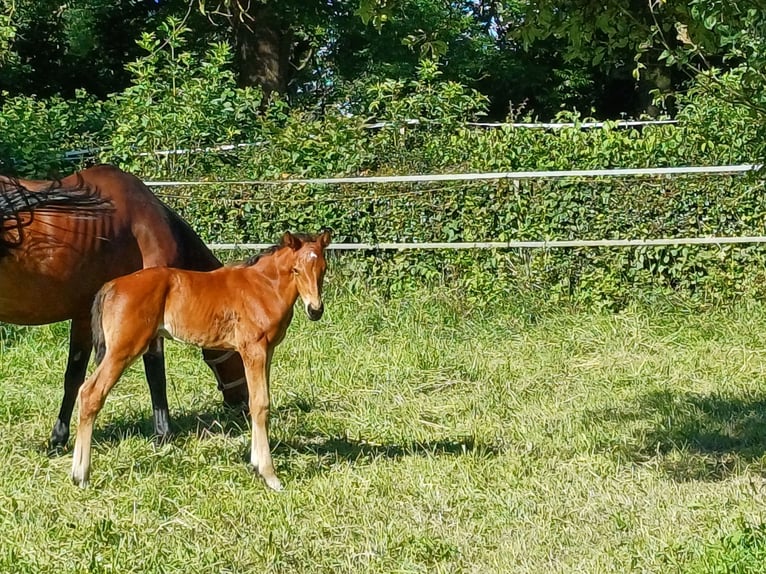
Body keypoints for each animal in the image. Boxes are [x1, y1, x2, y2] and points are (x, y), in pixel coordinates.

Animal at [0, 164, 248, 452]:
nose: (242, 405)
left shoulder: (83, 317)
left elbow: (73, 377)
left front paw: (58, 439)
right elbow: (155, 373)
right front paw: (163, 434)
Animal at [67, 230, 328, 490]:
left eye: (323, 269)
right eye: (296, 269)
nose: (315, 310)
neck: (263, 286)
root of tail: (111, 286)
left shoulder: (268, 351)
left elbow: (257, 402)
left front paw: (256, 465)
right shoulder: (253, 349)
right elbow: (260, 404)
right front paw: (269, 475)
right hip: (122, 350)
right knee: (90, 394)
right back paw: (81, 475)